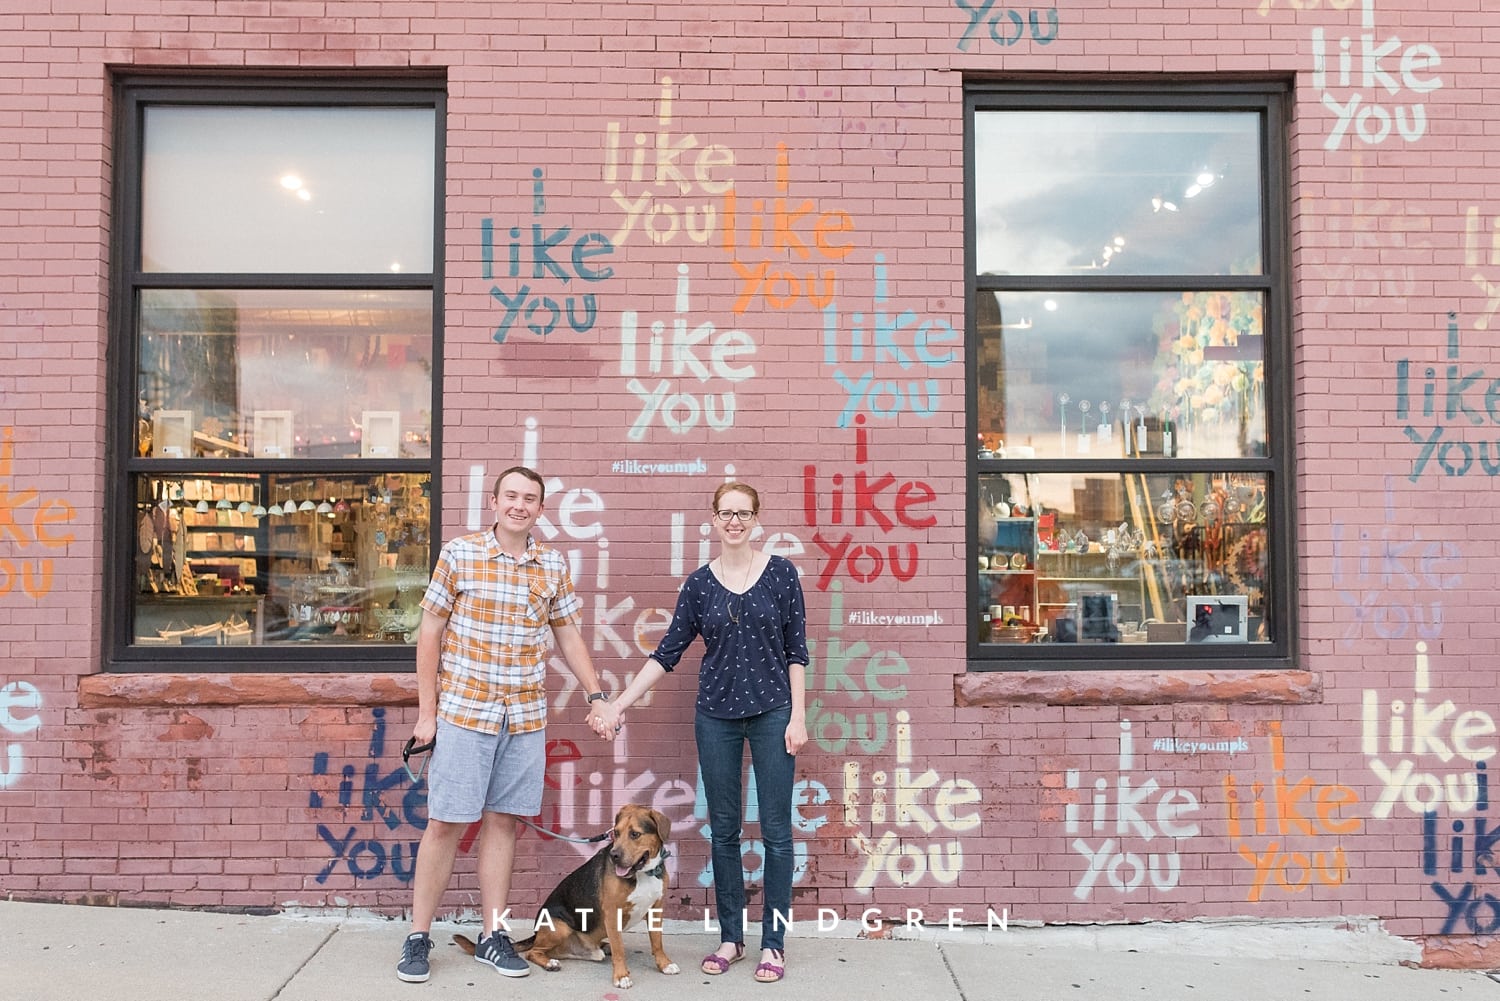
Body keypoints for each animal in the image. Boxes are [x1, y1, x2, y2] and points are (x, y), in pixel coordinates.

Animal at [450, 804, 675, 990]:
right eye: (616, 833)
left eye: (635, 834)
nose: (614, 856)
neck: (644, 873)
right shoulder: (612, 912)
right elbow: (620, 949)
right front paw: (621, 977)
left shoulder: (656, 909)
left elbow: (657, 942)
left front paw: (664, 964)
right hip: (560, 926)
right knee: (533, 951)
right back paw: (549, 963)